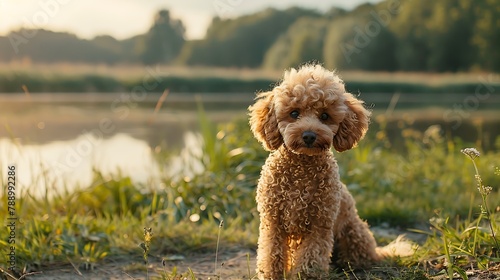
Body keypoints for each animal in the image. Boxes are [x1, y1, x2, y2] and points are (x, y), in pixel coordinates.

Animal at [248, 64, 380, 278]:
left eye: (324, 116)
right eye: (294, 113)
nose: (309, 135)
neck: (301, 167)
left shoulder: (320, 224)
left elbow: (312, 256)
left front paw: (305, 275)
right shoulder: (272, 221)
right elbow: (271, 254)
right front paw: (271, 274)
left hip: (354, 231)